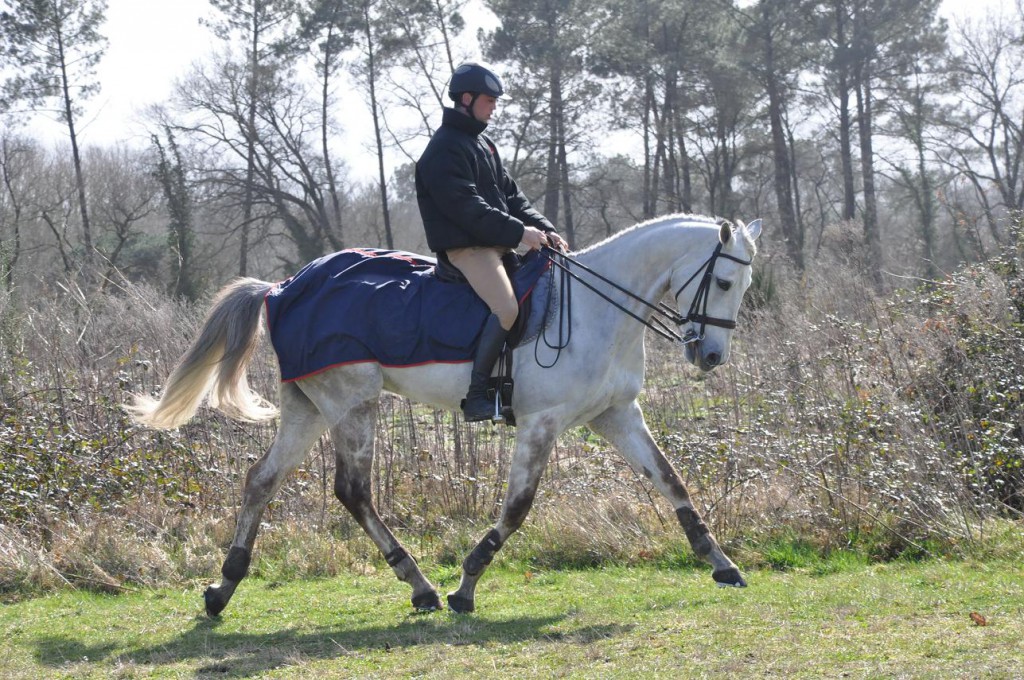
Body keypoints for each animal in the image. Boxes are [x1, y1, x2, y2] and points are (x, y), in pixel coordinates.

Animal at [128, 213, 762, 616]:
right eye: (724, 279)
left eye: (744, 283)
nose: (711, 356)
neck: (595, 310)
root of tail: (283, 287)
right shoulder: (542, 423)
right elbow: (518, 507)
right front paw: (467, 585)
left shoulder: (617, 415)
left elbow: (672, 482)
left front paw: (722, 564)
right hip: (353, 403)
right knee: (353, 491)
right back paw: (422, 587)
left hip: (308, 407)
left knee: (262, 480)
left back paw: (223, 588)